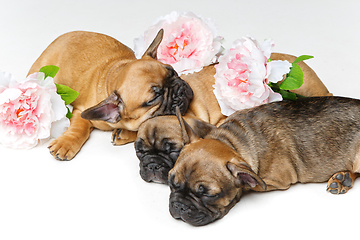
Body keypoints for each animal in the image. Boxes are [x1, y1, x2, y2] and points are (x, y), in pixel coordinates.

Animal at [27, 30, 194, 161]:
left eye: (173, 72)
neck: (115, 75)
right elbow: (79, 126)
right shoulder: (81, 111)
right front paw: (66, 143)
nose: (180, 90)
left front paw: (124, 133)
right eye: (153, 98)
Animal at [169, 97, 360, 225]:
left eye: (208, 195)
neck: (233, 141)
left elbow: (249, 185)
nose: (179, 206)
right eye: (171, 182)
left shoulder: (273, 181)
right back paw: (342, 178)